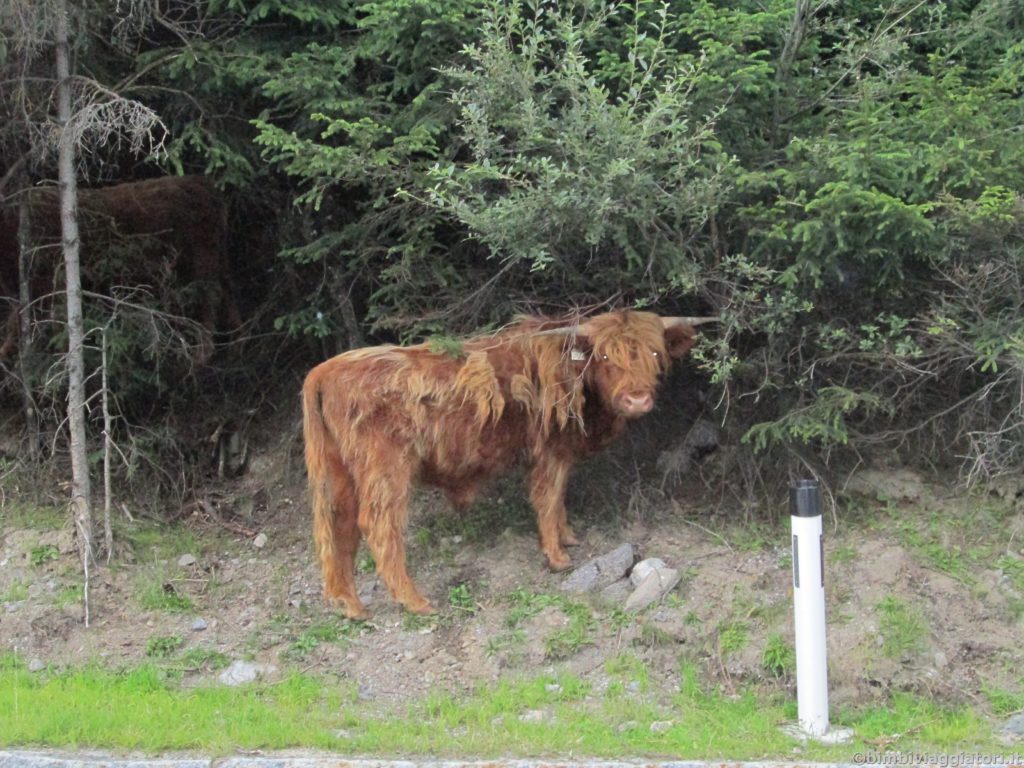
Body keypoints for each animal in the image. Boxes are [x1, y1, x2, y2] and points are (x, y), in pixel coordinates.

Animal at [0, 174, 240, 360]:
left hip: (201, 260)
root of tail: (206, 186)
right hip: (216, 259)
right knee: (227, 295)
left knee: (210, 299)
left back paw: (203, 354)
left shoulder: (49, 281)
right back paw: (235, 343)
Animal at [303, 311, 716, 618]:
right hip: (386, 467)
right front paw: (558, 556)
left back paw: (349, 604)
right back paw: (415, 601)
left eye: (655, 354)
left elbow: (559, 500)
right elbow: (548, 500)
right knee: (377, 525)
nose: (637, 399)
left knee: (338, 524)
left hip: (338, 470)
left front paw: (569, 536)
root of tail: (325, 370)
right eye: (604, 356)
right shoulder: (550, 453)